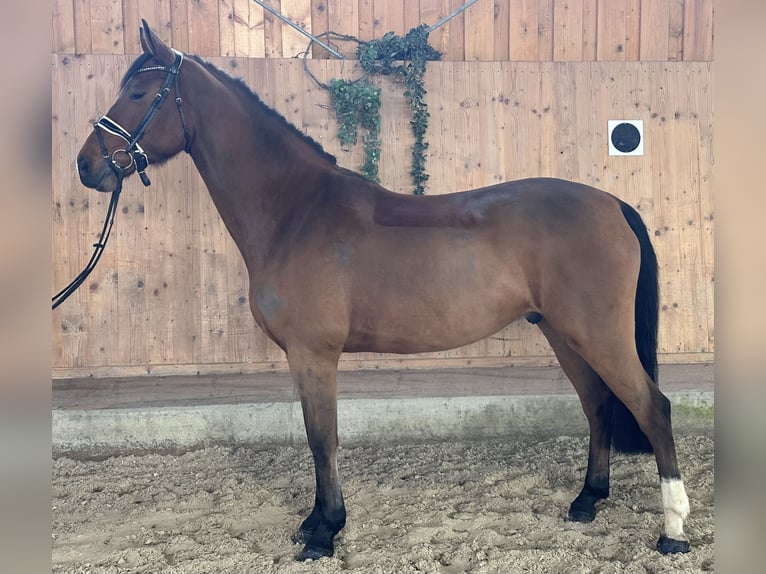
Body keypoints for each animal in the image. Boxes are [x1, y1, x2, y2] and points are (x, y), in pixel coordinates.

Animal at [75, 20, 691, 561]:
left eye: (138, 92)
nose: (86, 166)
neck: (296, 212)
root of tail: (612, 204)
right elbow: (318, 438)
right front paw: (314, 524)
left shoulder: (313, 355)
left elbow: (322, 439)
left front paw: (324, 532)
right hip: (565, 335)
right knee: (598, 406)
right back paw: (587, 501)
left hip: (597, 335)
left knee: (652, 407)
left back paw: (674, 531)